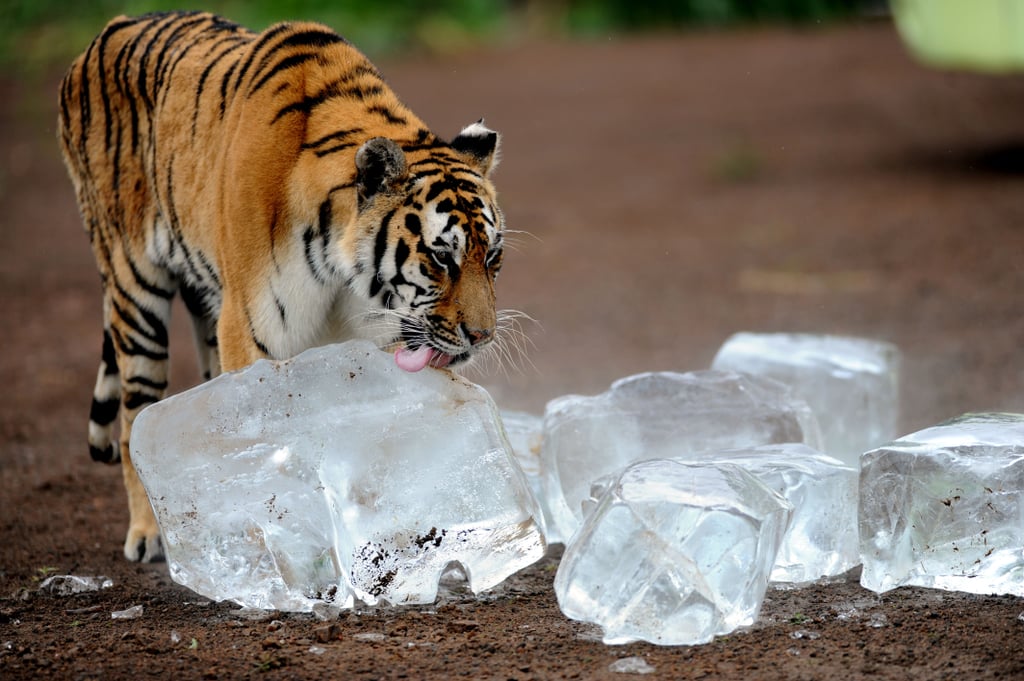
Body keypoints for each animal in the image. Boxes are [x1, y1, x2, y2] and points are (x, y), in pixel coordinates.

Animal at [59, 11, 507, 561]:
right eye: (441, 257)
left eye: (492, 257)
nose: (482, 337)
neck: (345, 273)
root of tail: (107, 32)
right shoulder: (250, 327)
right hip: (134, 288)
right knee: (134, 419)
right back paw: (148, 534)